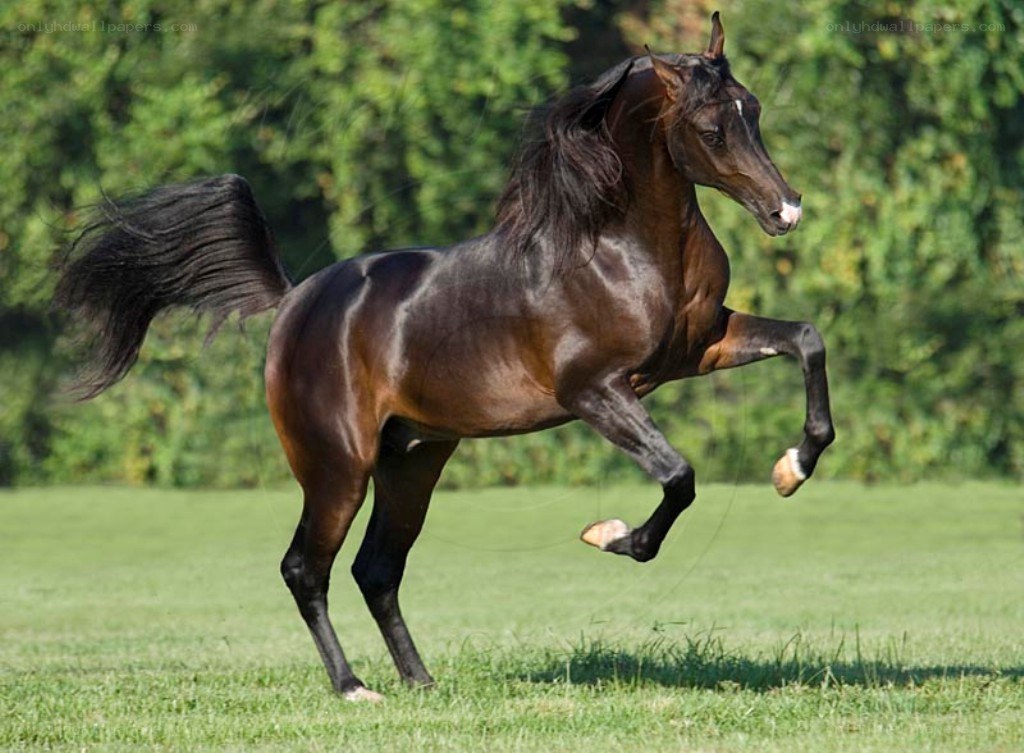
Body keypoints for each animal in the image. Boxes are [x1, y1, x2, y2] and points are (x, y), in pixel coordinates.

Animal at [55, 13, 834, 701]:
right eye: (711, 128)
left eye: (753, 108)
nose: (786, 211)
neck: (618, 247)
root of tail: (294, 298)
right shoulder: (595, 390)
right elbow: (678, 476)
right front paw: (608, 535)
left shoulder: (699, 348)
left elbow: (806, 340)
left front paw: (790, 470)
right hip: (337, 468)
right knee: (306, 568)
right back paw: (354, 687)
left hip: (413, 458)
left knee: (376, 569)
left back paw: (420, 682)